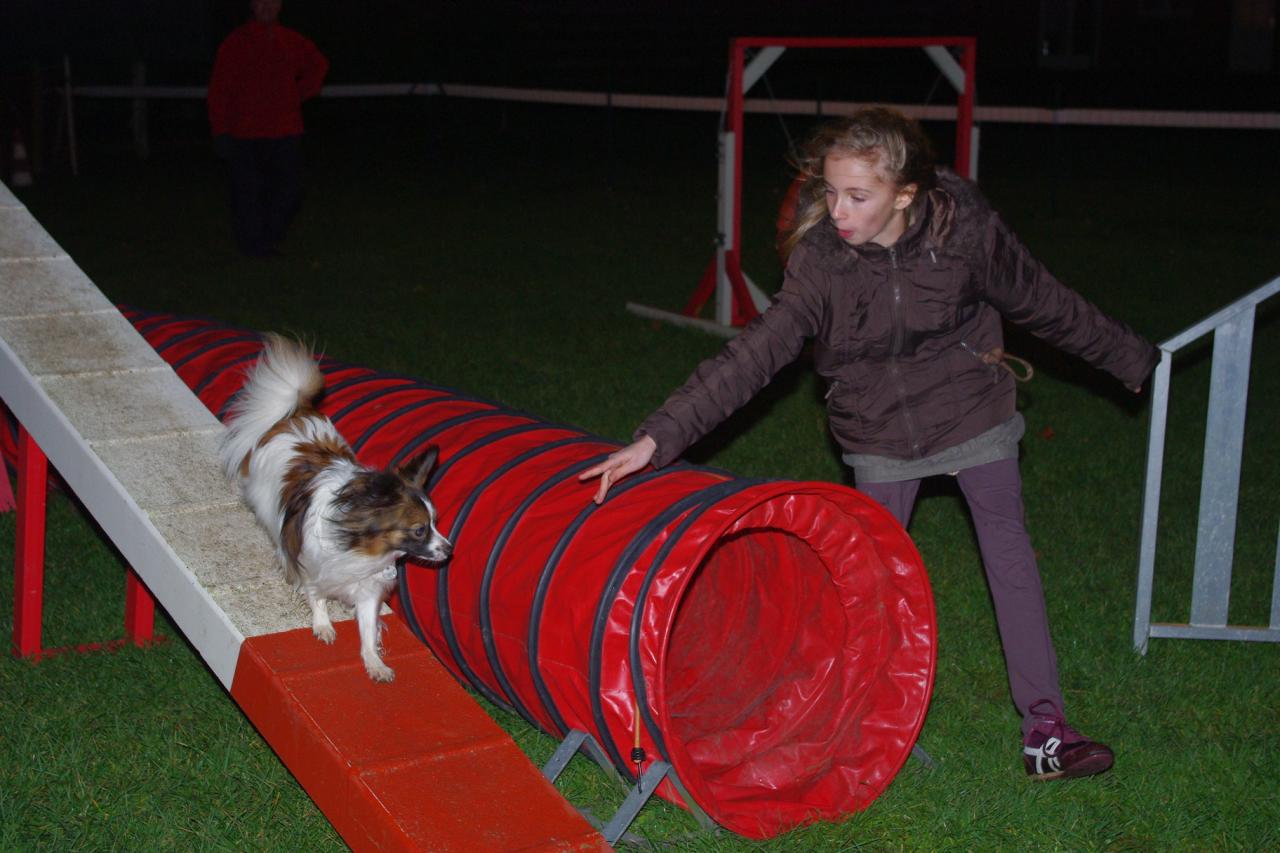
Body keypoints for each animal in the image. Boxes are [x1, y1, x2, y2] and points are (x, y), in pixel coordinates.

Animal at [222, 335, 453, 681]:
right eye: (419, 530)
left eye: (435, 523)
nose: (450, 550)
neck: (361, 544)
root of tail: (297, 413)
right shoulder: (311, 562)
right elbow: (314, 592)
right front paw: (323, 624)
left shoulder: (369, 588)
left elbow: (368, 628)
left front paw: (374, 661)